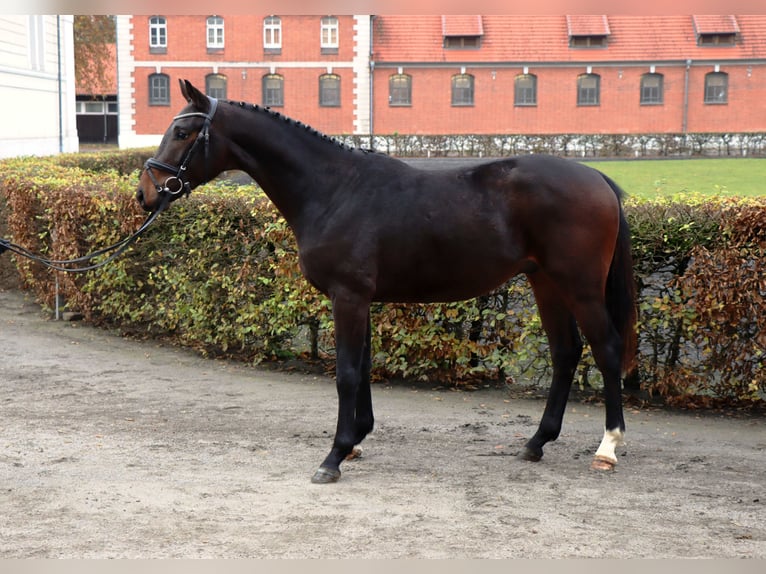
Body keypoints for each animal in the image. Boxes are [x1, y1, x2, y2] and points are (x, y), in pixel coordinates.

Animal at [140, 80, 640, 486]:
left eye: (183, 134)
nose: (145, 193)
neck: (334, 189)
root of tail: (596, 177)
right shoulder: (358, 298)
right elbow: (361, 369)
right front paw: (356, 440)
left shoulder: (348, 296)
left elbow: (346, 373)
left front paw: (333, 456)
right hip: (546, 284)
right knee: (566, 353)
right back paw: (536, 442)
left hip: (579, 287)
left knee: (607, 349)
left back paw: (608, 446)